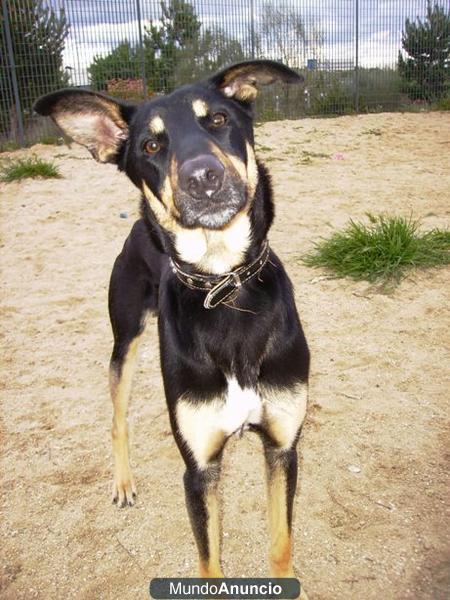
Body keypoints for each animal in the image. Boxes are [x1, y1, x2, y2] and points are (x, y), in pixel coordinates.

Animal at [34, 59, 310, 584]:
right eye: (150, 146)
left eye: (218, 119)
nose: (203, 177)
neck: (224, 284)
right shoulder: (199, 470)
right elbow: (210, 564)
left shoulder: (283, 446)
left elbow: (283, 546)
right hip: (125, 341)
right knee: (117, 417)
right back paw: (123, 482)